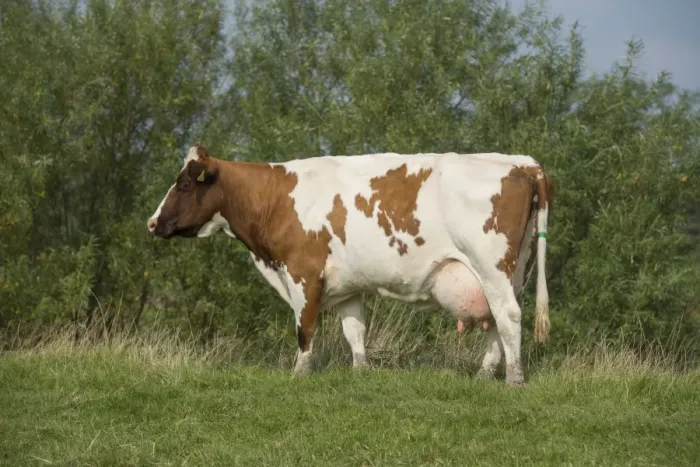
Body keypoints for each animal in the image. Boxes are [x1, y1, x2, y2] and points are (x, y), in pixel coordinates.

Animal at [147, 144, 553, 385]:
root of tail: (520, 163)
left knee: (508, 316)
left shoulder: (303, 274)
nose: (151, 223)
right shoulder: (348, 286)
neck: (275, 198)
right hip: (513, 271)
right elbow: (354, 331)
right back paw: (485, 374)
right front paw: (361, 371)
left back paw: (514, 379)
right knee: (497, 321)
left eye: (185, 184)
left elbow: (305, 329)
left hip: (491, 267)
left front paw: (300, 373)